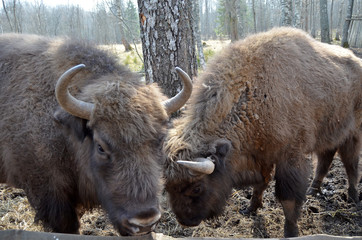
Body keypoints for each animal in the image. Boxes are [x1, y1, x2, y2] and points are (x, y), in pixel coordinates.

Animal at [165, 27, 362, 237]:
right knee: (325, 160)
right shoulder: (262, 154)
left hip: (353, 133)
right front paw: (251, 208)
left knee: (351, 164)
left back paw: (352, 197)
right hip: (329, 134)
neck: (255, 91)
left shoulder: (290, 157)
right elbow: (260, 183)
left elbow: (287, 198)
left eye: (196, 188)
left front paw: (290, 232)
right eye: (167, 187)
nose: (185, 221)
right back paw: (313, 190)